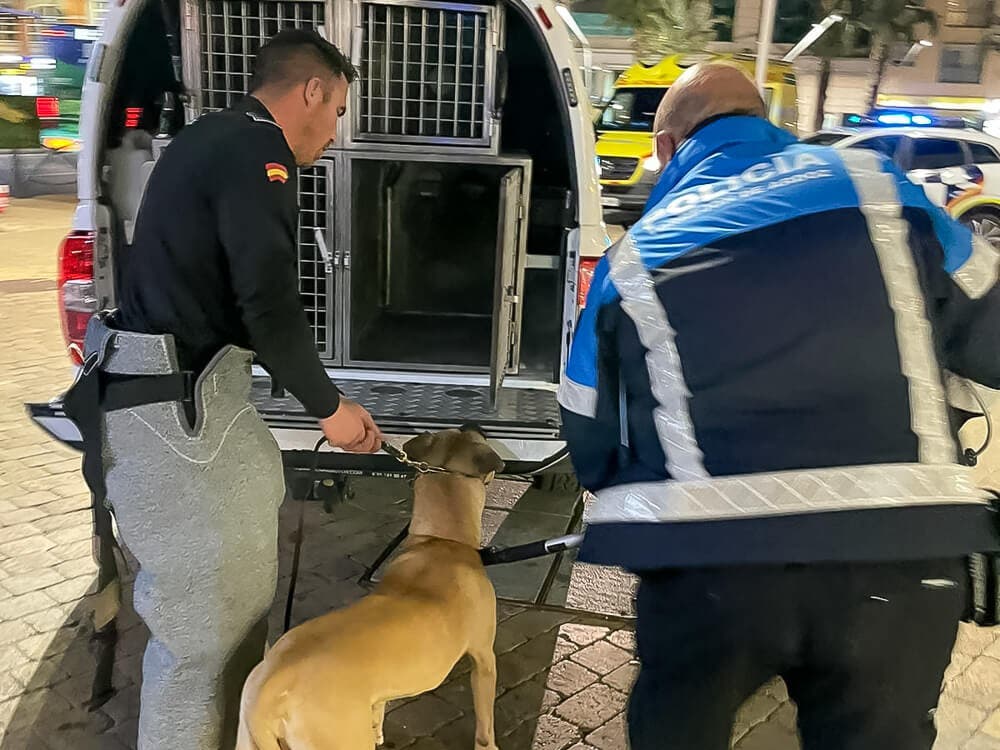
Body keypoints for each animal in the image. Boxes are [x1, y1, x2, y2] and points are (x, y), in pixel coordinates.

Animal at [232, 428, 500, 750]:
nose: (474, 424)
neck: (440, 543)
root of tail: (267, 693)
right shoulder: (485, 659)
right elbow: (485, 725)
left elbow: (379, 708)